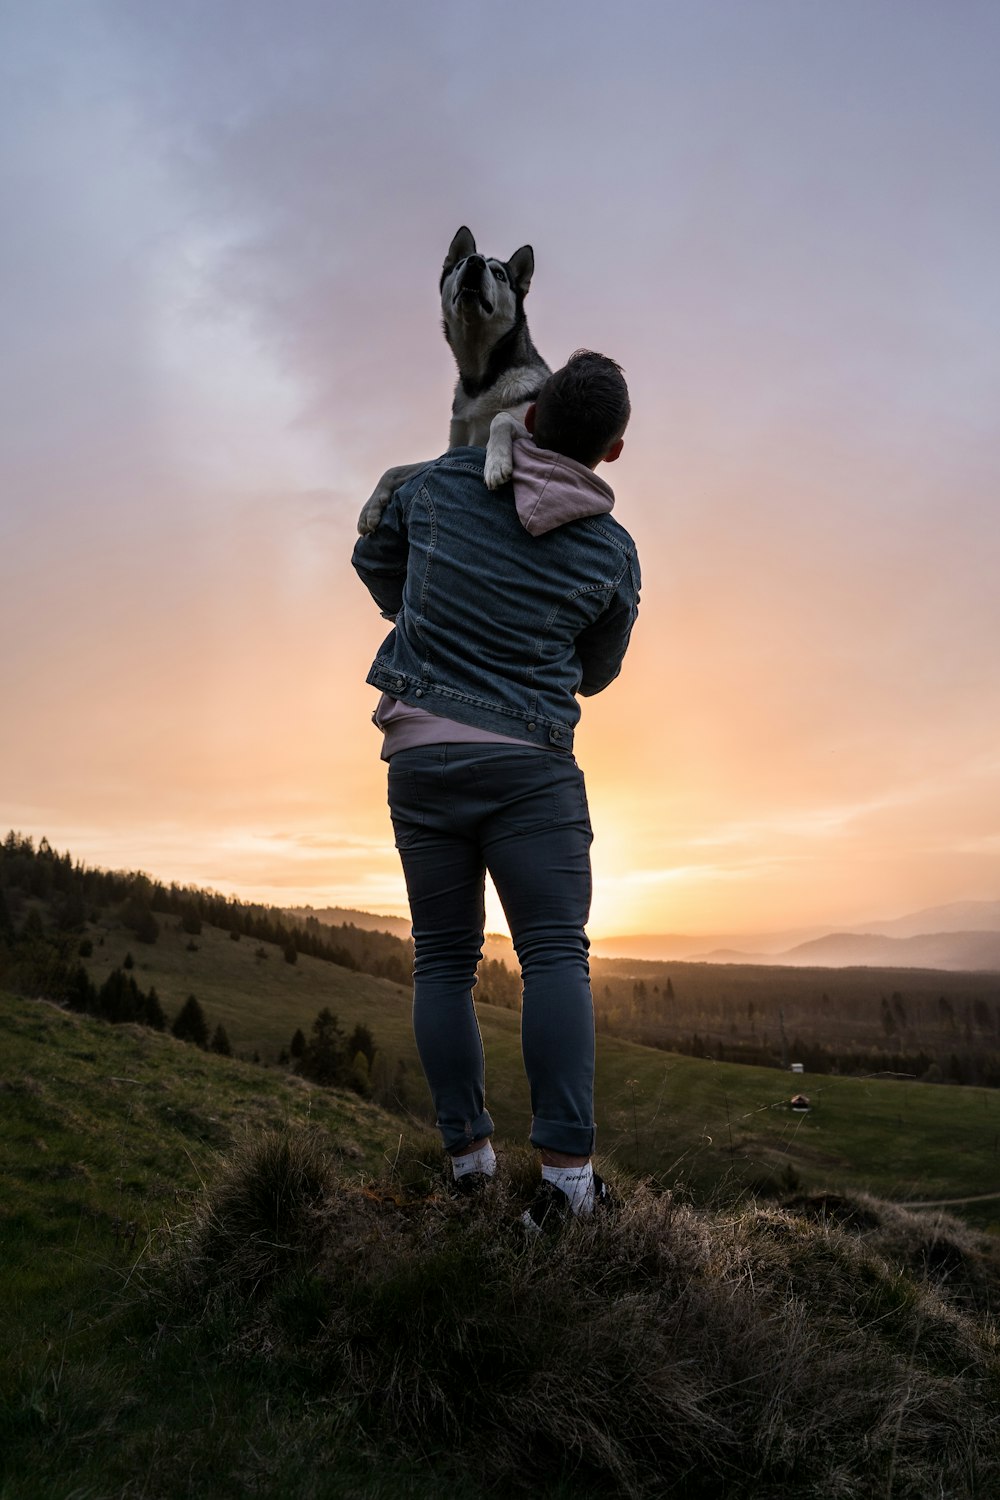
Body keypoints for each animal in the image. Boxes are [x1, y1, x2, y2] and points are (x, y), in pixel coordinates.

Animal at [355, 228, 551, 540]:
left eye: (499, 274)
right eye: (460, 265)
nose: (474, 263)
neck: (480, 381)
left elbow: (501, 419)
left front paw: (496, 463)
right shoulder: (452, 451)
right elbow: (394, 469)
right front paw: (370, 508)